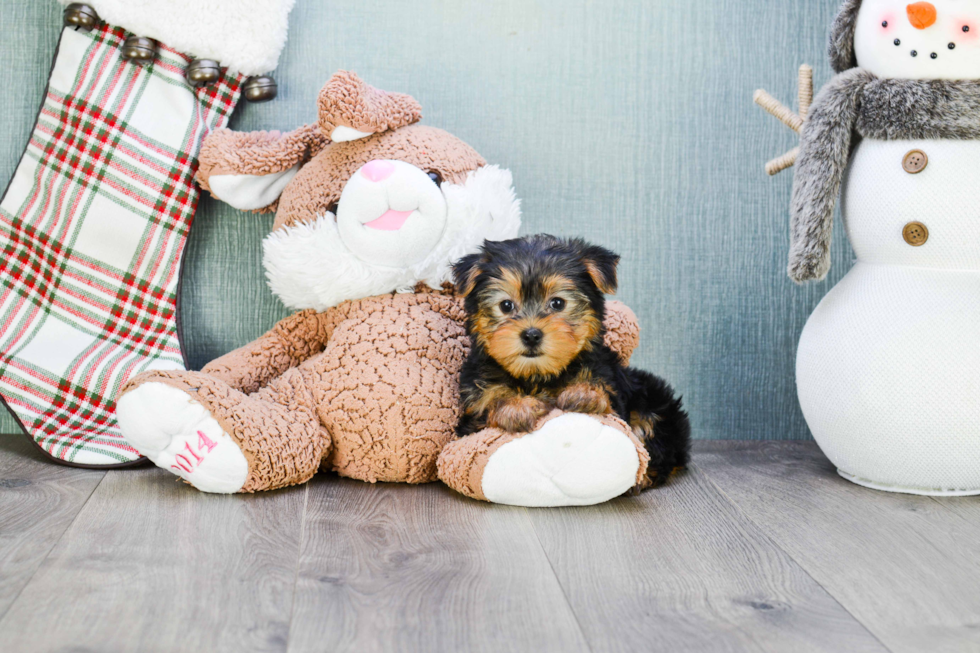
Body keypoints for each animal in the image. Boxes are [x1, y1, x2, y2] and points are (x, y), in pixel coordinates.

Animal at [452, 236, 688, 488]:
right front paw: (515, 406)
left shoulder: (610, 383)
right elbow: (490, 399)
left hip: (655, 401)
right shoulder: (471, 415)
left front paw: (584, 393)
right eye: (506, 305)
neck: (538, 374)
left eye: (557, 303)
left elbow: (606, 398)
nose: (531, 335)